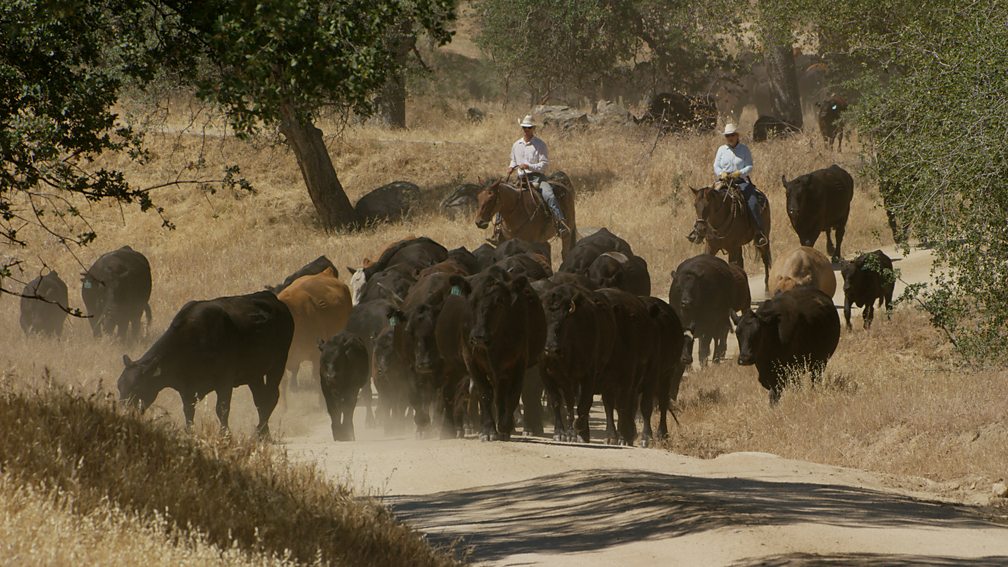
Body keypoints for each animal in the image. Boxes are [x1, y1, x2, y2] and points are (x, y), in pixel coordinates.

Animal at [117, 288, 294, 433]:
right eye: (119, 386)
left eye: (137, 387)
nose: (124, 413)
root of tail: (273, 299)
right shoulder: (186, 388)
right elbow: (188, 411)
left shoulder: (225, 380)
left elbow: (222, 409)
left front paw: (225, 435)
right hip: (254, 374)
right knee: (260, 399)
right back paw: (263, 432)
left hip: (278, 363)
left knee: (271, 396)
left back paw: (261, 433)